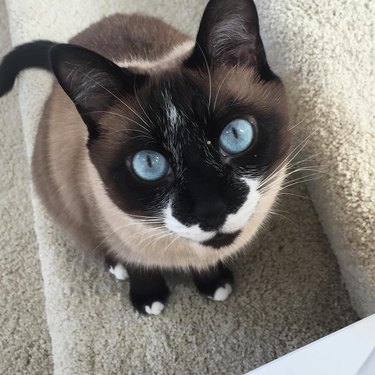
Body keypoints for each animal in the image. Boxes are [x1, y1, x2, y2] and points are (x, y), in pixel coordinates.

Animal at [0, 0, 290, 316]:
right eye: (149, 164)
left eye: (235, 135)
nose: (211, 210)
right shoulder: (104, 216)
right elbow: (136, 262)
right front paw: (148, 297)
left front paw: (213, 283)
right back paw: (116, 268)